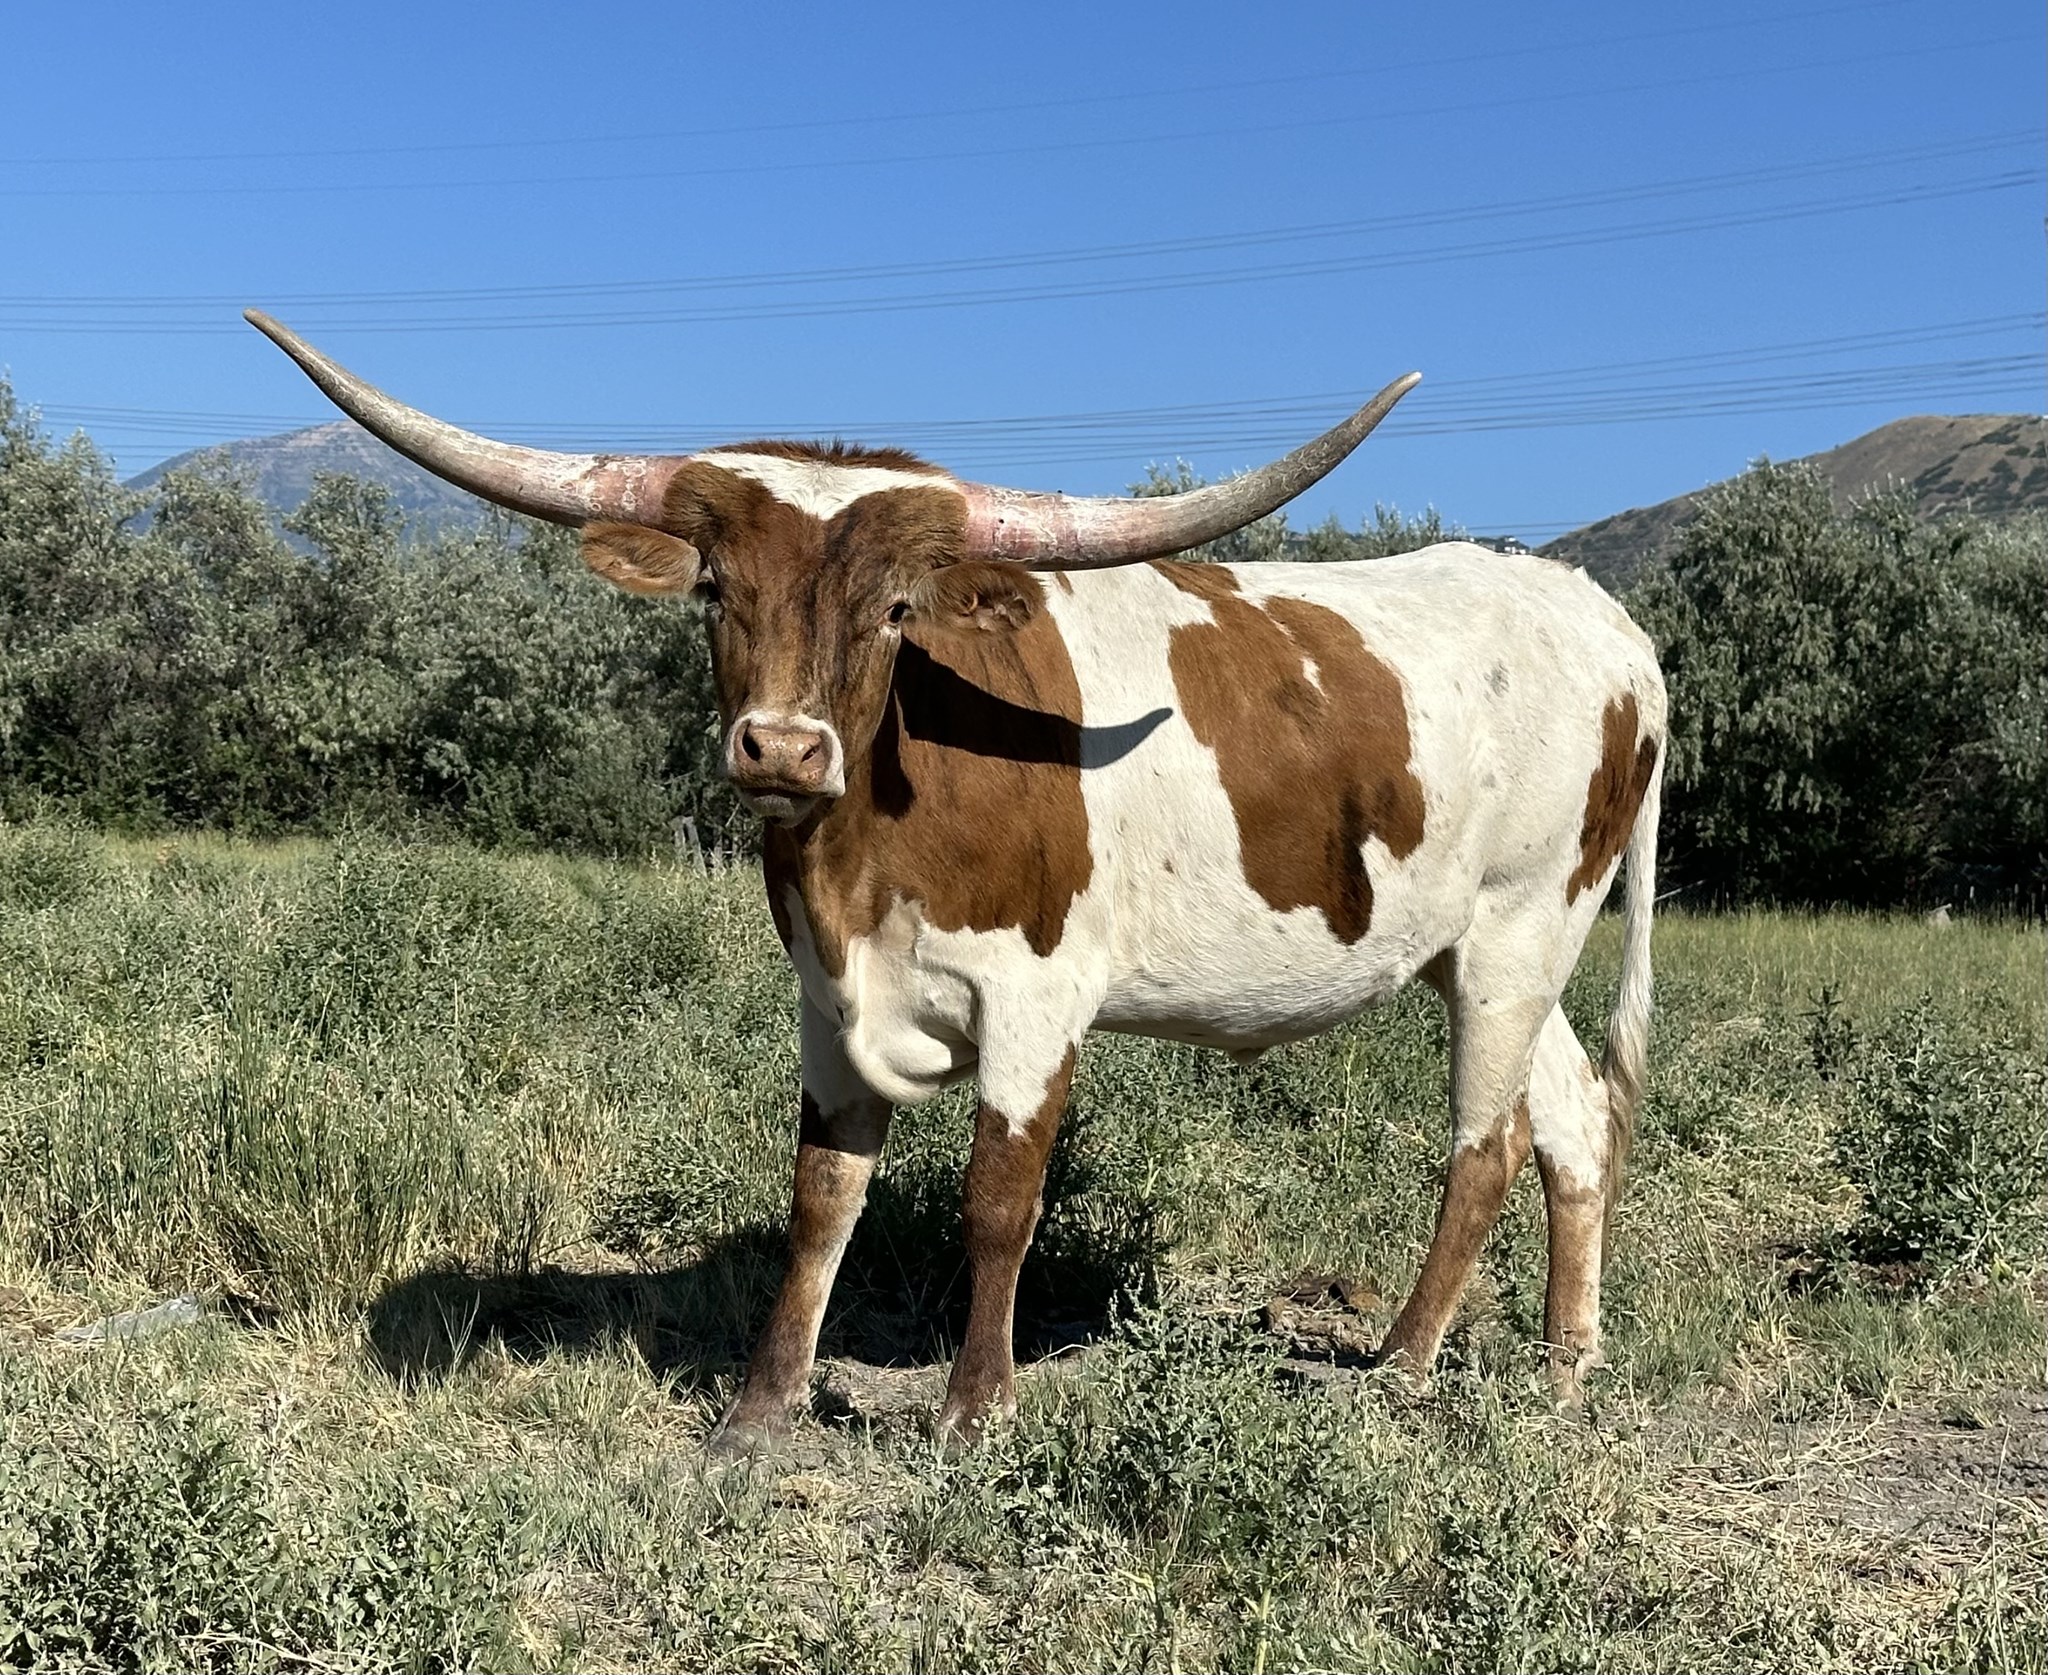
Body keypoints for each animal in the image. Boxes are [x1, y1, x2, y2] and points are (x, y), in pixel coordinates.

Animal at [247, 310, 1665, 1452]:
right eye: (714, 590)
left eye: (892, 609)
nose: (781, 747)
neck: (865, 852)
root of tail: (1605, 621)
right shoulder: (825, 997)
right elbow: (822, 1198)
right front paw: (761, 1411)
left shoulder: (1037, 998)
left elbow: (998, 1202)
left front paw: (974, 1411)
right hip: (1485, 951)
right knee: (1571, 1122)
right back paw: (1562, 1367)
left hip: (1516, 931)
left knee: (1483, 1148)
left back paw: (1402, 1367)